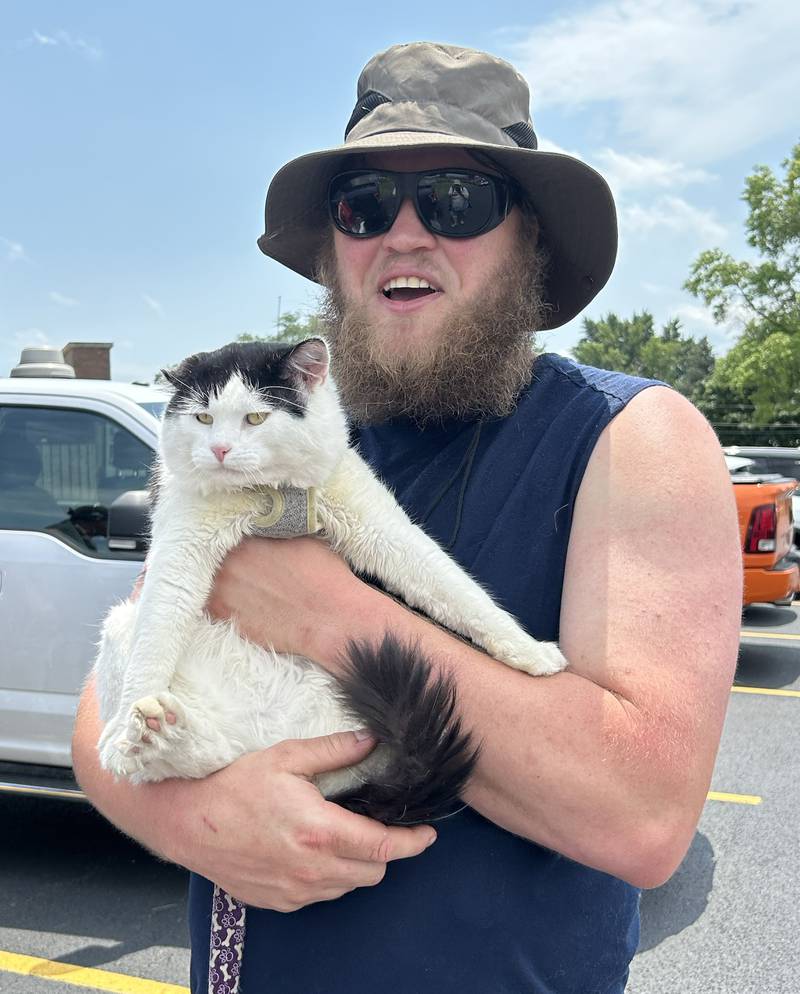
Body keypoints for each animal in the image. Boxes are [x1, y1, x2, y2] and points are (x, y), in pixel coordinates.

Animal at [95, 338, 568, 816]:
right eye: (203, 418)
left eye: (256, 418)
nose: (220, 450)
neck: (269, 495)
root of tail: (273, 731)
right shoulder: (178, 548)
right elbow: (156, 638)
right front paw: (124, 727)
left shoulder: (380, 526)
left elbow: (456, 588)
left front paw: (530, 652)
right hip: (121, 624)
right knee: (213, 762)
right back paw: (158, 735)